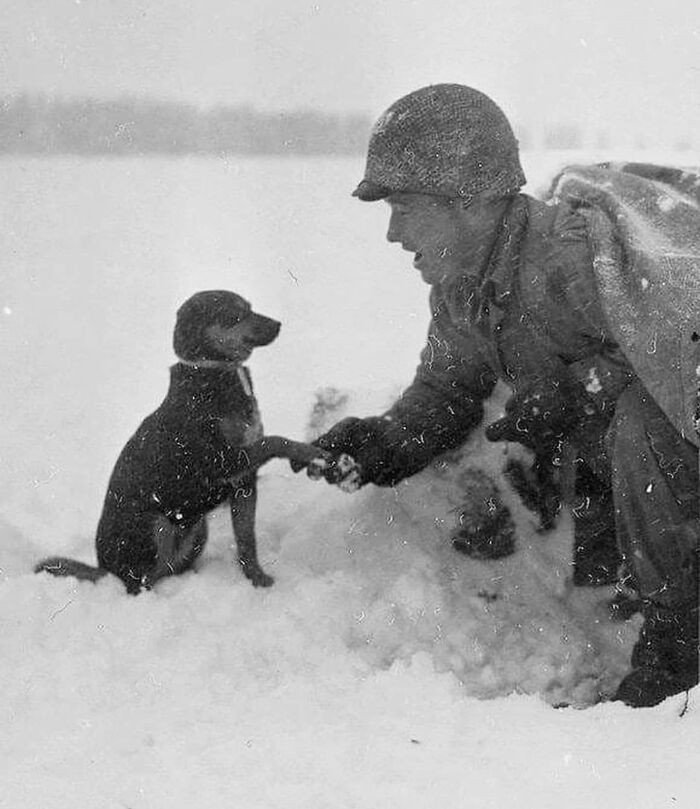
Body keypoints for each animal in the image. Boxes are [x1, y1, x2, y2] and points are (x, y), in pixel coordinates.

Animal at [36, 290, 334, 592]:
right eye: (234, 314)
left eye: (250, 307)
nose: (278, 325)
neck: (213, 371)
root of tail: (106, 570)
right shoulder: (223, 460)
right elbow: (275, 441)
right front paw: (312, 451)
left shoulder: (244, 483)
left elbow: (246, 540)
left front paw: (257, 579)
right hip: (156, 525)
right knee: (140, 581)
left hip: (197, 528)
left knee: (169, 569)